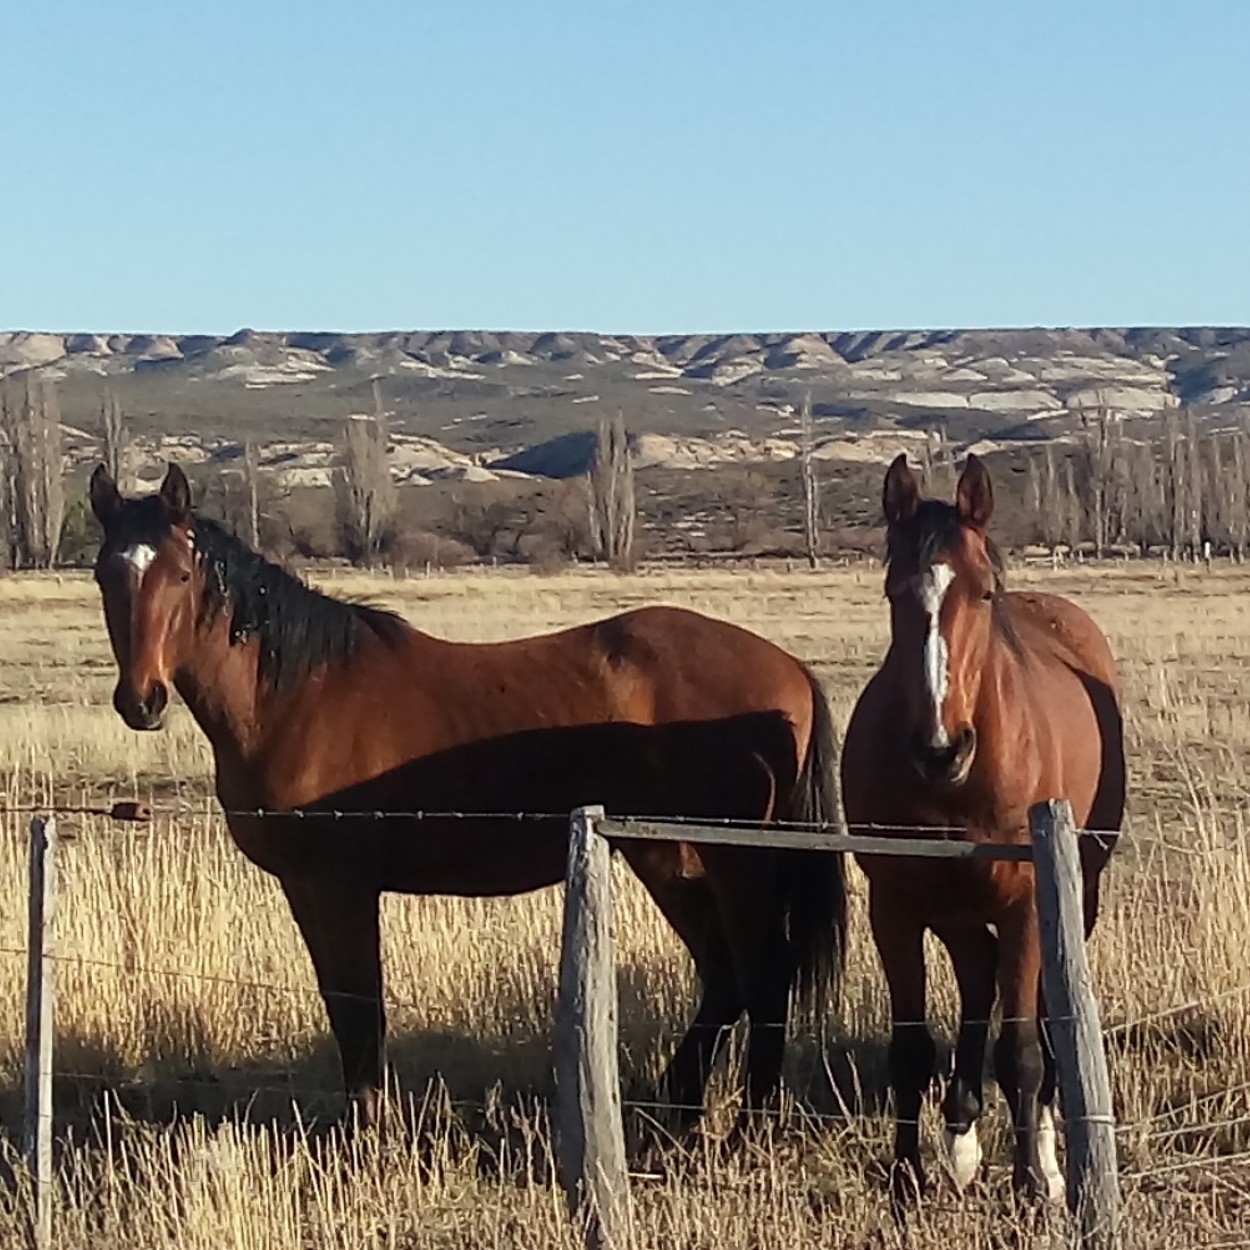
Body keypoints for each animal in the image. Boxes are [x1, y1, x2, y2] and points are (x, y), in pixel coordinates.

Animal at [90, 465, 850, 1140]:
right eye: (106, 574)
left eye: (180, 576)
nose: (141, 702)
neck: (298, 693)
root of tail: (788, 668)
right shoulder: (305, 887)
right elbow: (341, 1006)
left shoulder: (341, 885)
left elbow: (361, 1006)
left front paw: (373, 1137)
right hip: (667, 855)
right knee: (725, 977)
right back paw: (681, 1108)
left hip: (733, 862)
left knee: (761, 976)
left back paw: (746, 1128)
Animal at [840, 455, 1125, 1205]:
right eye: (894, 592)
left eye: (985, 593)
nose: (941, 748)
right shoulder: (896, 907)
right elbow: (910, 1049)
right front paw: (905, 1178)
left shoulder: (1027, 904)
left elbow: (1020, 1050)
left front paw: (1030, 1184)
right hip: (957, 907)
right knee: (976, 976)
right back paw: (961, 1136)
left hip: (1075, 892)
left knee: (1042, 1014)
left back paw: (1047, 1154)